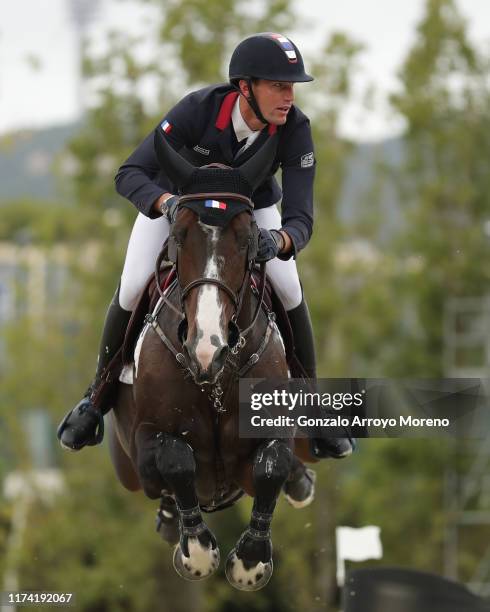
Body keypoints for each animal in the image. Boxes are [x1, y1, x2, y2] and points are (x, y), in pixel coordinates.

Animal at [106, 131, 316, 592]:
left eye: (248, 238)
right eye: (179, 236)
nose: (208, 348)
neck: (215, 378)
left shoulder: (267, 440)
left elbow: (274, 464)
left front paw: (248, 564)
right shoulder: (145, 452)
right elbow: (175, 458)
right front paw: (198, 553)